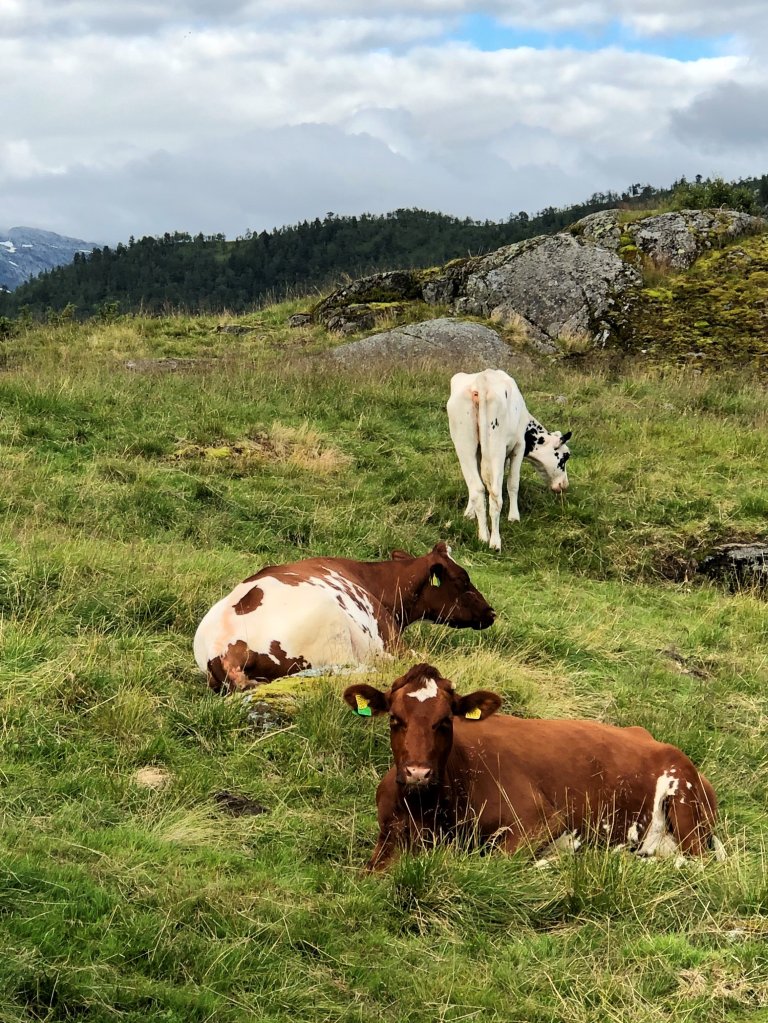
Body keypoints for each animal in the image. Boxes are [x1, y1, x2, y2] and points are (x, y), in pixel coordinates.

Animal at [345, 662, 724, 871]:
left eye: (444, 721)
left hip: (685, 803)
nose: (417, 773)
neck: (433, 811)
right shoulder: (389, 834)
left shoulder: (540, 819)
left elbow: (493, 860)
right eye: (395, 719)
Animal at [443, 370, 572, 548]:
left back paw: (483, 536)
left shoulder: (480, 452)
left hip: (464, 444)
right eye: (565, 456)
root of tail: (482, 380)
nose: (564, 485)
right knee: (496, 495)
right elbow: (513, 483)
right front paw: (514, 517)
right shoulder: (519, 447)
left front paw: (469, 513)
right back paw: (494, 541)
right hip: (496, 446)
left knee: (477, 488)